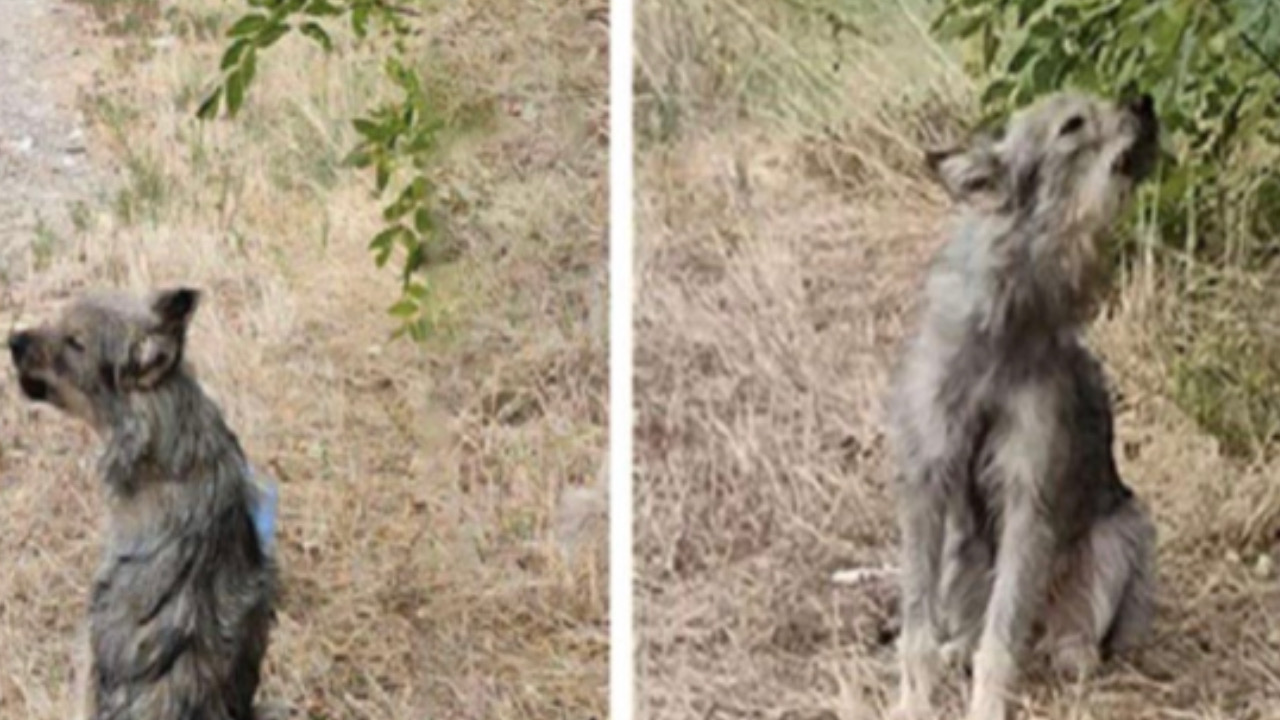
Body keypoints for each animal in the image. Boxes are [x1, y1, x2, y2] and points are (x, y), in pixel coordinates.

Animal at [885, 92, 1167, 717]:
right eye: (1072, 125)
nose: (1143, 101)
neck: (1006, 324)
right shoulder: (927, 483)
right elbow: (918, 633)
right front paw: (914, 702)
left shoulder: (1027, 498)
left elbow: (1001, 641)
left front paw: (987, 707)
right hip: (960, 549)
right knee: (964, 630)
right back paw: (955, 651)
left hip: (1118, 538)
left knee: (1059, 638)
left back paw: (1070, 653)